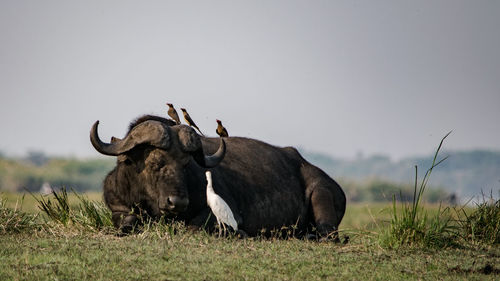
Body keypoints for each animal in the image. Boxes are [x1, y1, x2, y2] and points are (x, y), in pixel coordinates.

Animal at [91, 114, 344, 238]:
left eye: (185, 164)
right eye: (155, 162)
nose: (177, 202)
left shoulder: (222, 212)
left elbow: (193, 227)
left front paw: (240, 233)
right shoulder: (118, 206)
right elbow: (128, 222)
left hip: (321, 192)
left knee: (327, 232)